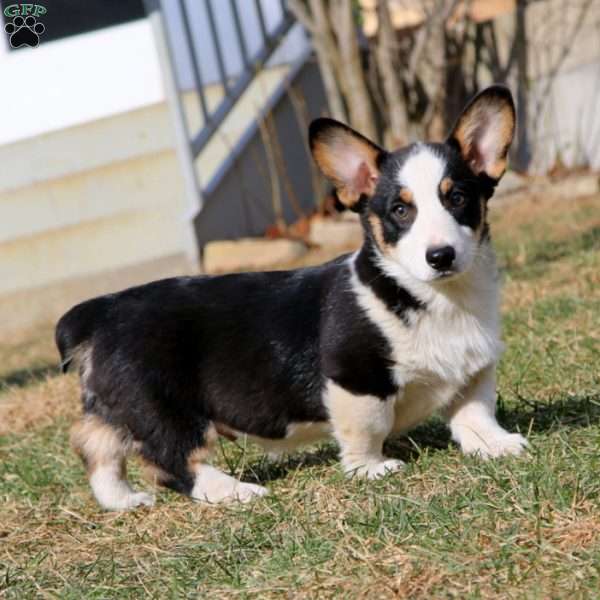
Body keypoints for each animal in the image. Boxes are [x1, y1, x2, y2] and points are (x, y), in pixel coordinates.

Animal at [55, 85, 524, 510]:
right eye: (400, 211)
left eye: (458, 198)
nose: (440, 256)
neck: (436, 298)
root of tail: (101, 311)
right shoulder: (356, 380)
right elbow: (367, 429)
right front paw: (372, 469)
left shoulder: (474, 370)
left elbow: (475, 412)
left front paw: (497, 445)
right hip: (163, 408)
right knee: (172, 461)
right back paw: (235, 492)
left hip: (118, 408)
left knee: (94, 444)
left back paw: (123, 499)